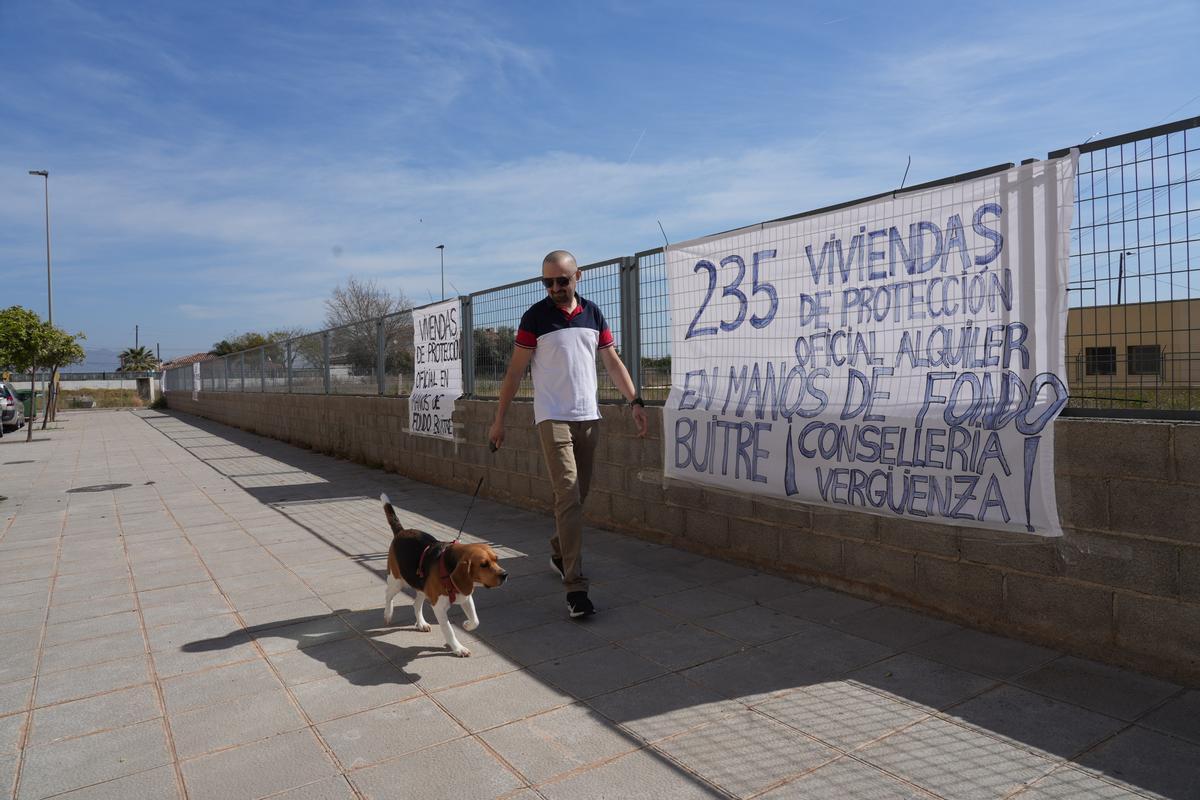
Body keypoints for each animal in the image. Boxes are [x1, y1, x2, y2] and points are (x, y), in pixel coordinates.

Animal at [376, 494, 504, 657]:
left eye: (496, 559)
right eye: (483, 564)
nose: (505, 575)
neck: (450, 570)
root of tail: (402, 531)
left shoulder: (466, 597)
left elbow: (475, 620)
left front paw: (467, 625)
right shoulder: (439, 608)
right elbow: (449, 630)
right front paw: (458, 648)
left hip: (421, 586)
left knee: (416, 604)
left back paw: (421, 624)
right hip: (396, 581)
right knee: (388, 595)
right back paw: (388, 614)